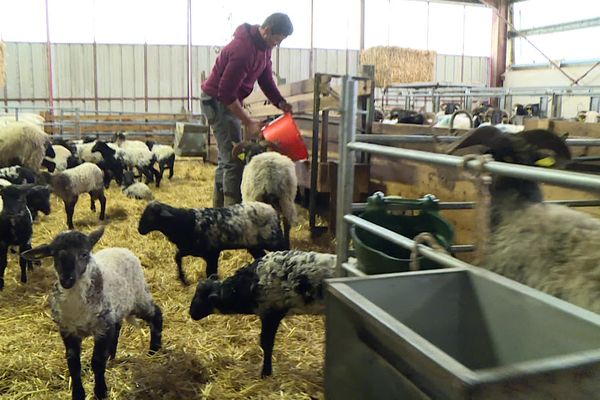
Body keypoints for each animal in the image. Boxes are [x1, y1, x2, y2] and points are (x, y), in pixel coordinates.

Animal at [21, 228, 163, 400]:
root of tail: (120, 249)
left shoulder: (102, 328)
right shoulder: (68, 331)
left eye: (83, 253)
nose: (66, 280)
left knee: (156, 314)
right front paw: (78, 394)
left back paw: (154, 351)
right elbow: (73, 365)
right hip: (116, 309)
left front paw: (101, 391)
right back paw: (112, 355)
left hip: (139, 297)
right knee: (117, 326)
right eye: (54, 255)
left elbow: (97, 361)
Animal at [137, 200, 288, 284]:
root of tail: (273, 210)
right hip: (253, 245)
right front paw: (183, 279)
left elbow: (211, 272)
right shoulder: (193, 250)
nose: (139, 229)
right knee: (261, 256)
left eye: (150, 216)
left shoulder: (212, 253)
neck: (186, 222)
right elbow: (178, 257)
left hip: (274, 240)